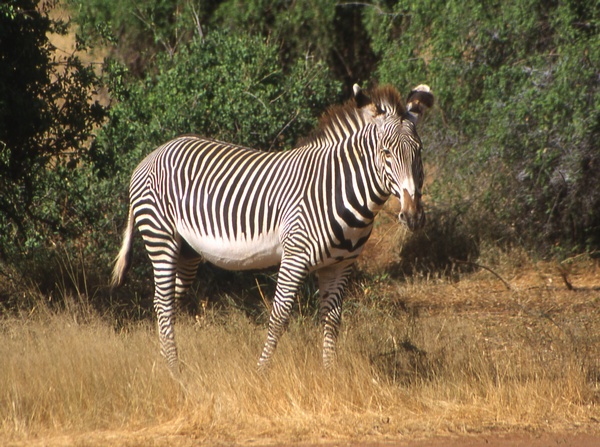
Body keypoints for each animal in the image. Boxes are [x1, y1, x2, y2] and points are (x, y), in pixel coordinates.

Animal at [111, 84, 432, 372]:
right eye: (386, 153)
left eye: (419, 152)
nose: (413, 216)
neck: (337, 190)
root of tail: (151, 155)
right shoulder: (295, 256)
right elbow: (279, 317)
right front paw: (261, 372)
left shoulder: (340, 265)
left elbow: (332, 321)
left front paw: (329, 374)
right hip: (160, 237)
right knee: (163, 303)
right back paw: (174, 371)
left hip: (187, 251)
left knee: (166, 302)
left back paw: (163, 362)